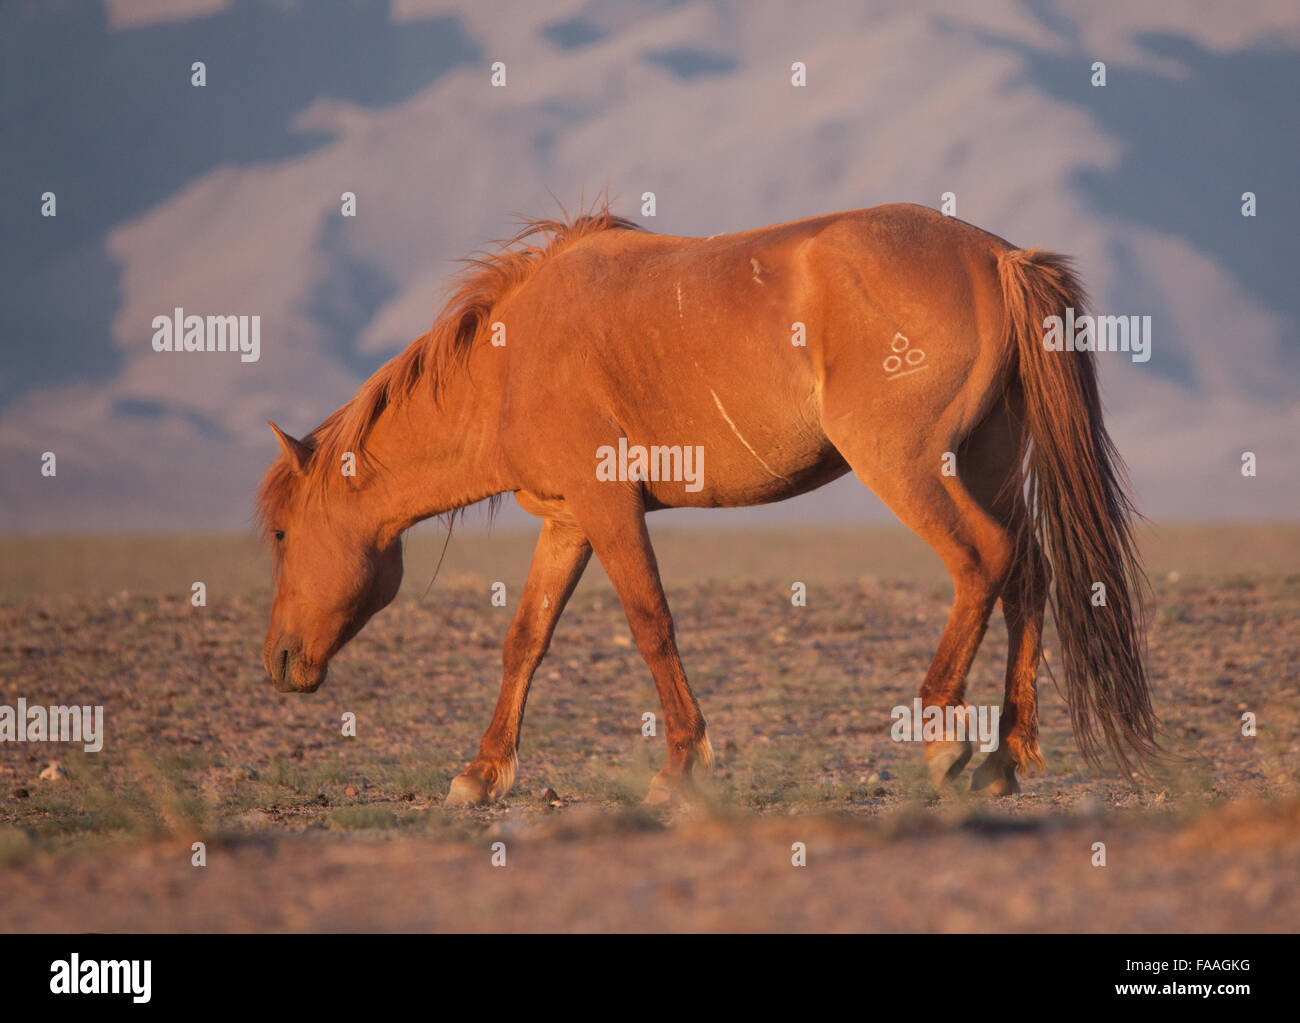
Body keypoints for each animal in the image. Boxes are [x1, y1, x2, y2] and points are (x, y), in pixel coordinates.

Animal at [256, 201, 1160, 806]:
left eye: (279, 533)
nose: (278, 662)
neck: (512, 357)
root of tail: (998, 258)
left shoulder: (608, 505)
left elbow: (651, 623)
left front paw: (680, 767)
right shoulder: (567, 520)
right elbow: (525, 642)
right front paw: (481, 774)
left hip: (909, 466)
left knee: (984, 560)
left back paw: (944, 740)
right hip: (987, 458)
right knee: (1028, 576)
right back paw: (1008, 756)